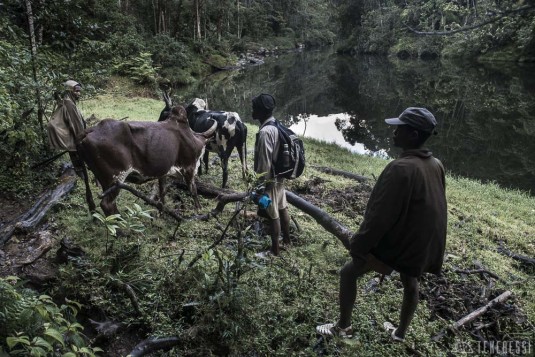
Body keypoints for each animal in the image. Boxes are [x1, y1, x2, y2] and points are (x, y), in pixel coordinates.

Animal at [76, 104, 218, 216]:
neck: (192, 138)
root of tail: (92, 130)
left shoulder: (163, 172)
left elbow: (162, 192)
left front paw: (162, 213)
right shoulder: (189, 168)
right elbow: (193, 191)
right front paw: (199, 211)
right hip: (115, 179)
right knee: (107, 204)